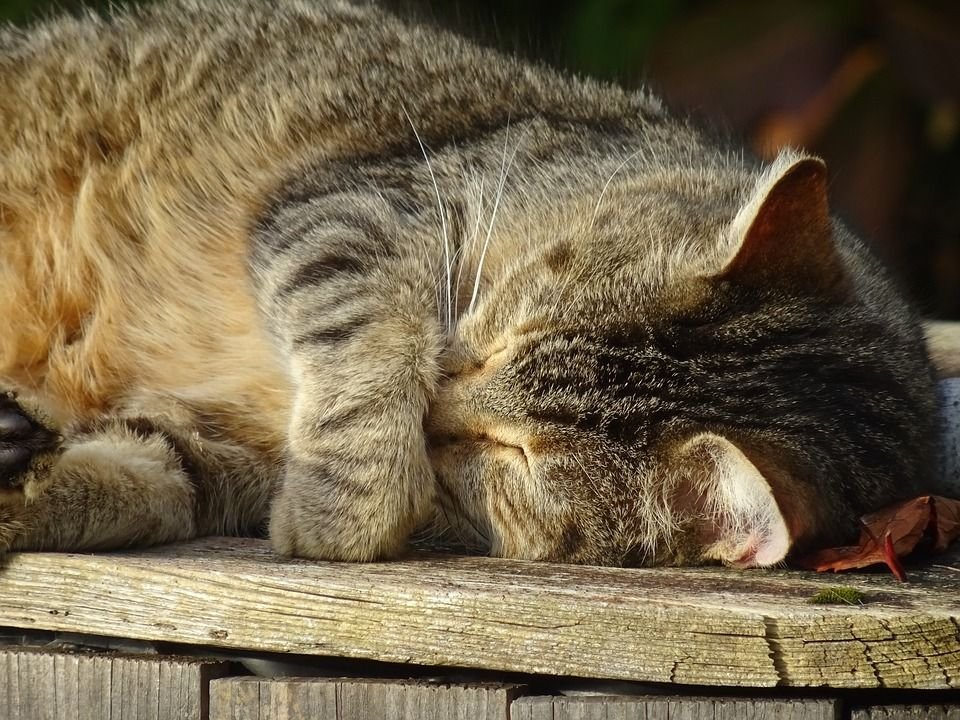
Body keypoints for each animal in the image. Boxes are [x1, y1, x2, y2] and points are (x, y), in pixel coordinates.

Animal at [0, 0, 940, 568]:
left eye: (511, 455)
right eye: (502, 334)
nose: (438, 406)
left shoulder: (222, 446)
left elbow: (154, 466)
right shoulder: (351, 211)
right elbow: (374, 358)